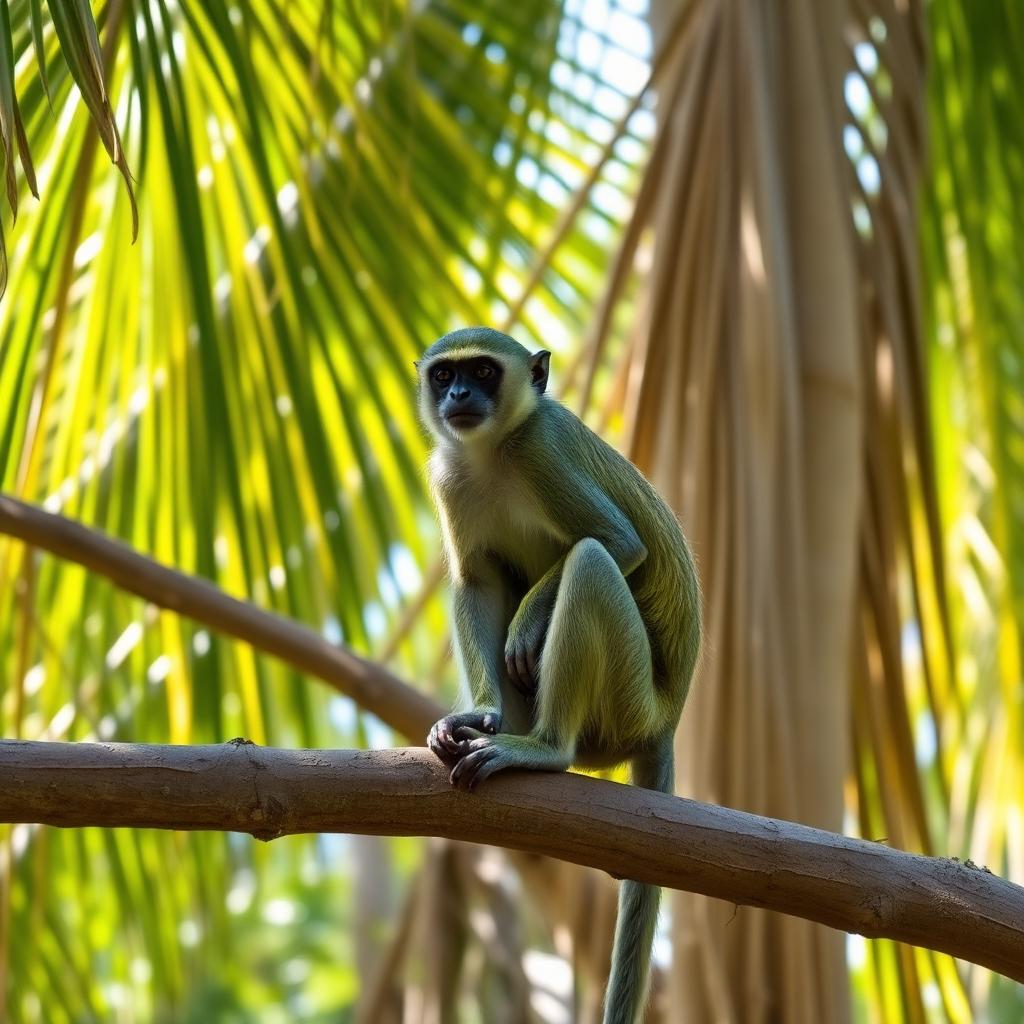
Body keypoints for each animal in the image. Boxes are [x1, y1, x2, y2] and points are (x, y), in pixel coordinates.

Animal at [417, 326, 701, 1024]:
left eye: (483, 373)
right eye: (445, 376)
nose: (459, 397)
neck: (491, 455)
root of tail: (666, 719)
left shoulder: (541, 450)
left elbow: (621, 545)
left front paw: (528, 622)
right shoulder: (448, 475)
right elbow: (477, 582)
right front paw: (476, 711)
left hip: (626, 702)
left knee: (593, 561)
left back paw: (543, 748)